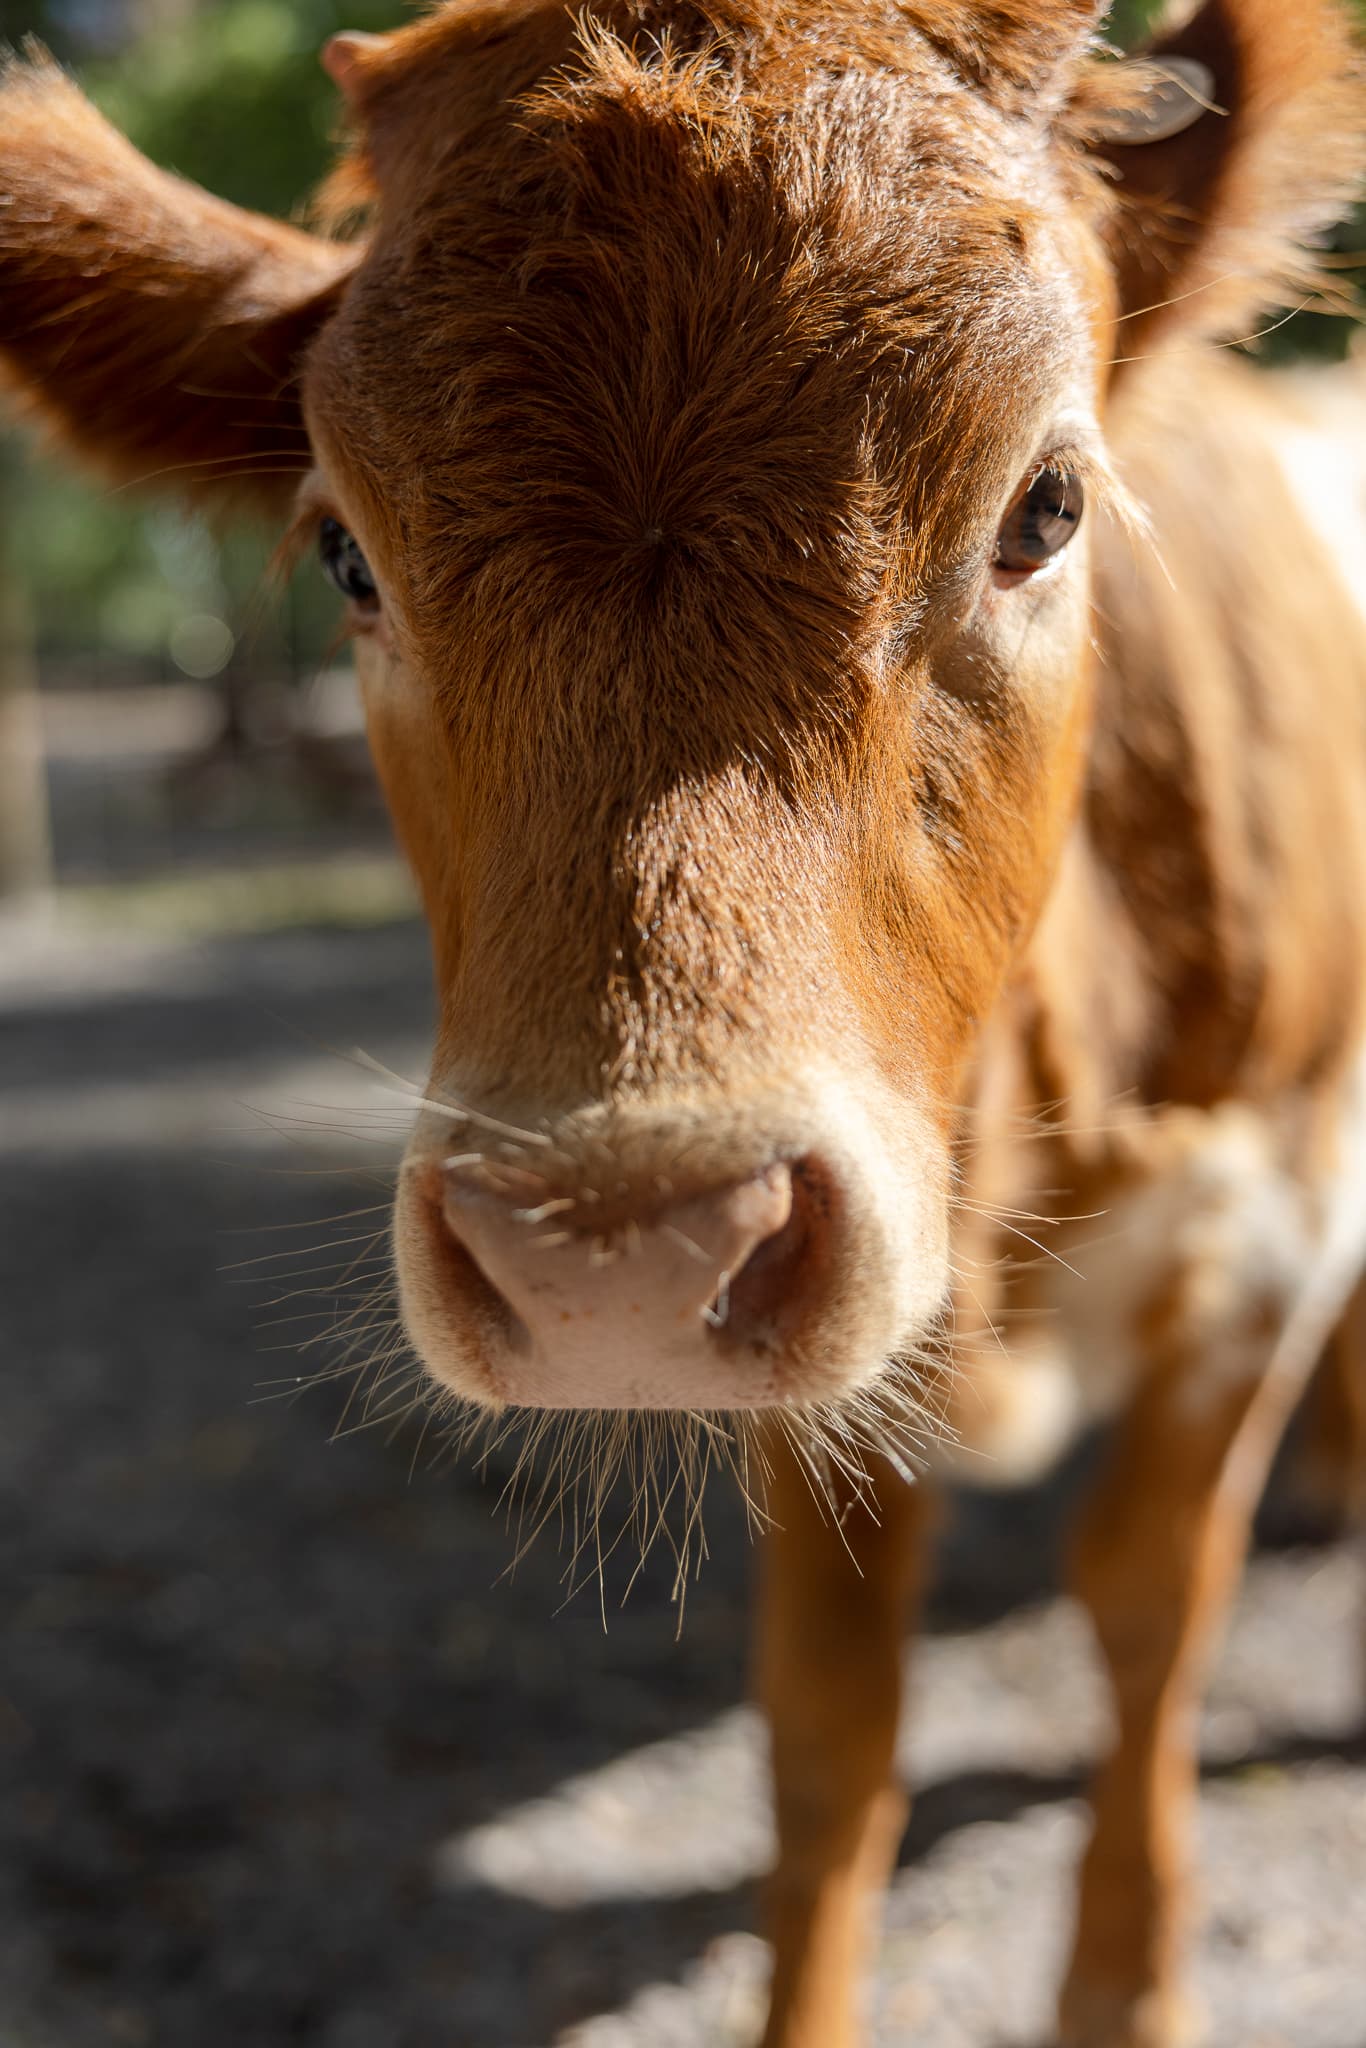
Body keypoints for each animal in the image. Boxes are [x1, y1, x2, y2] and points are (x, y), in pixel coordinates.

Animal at [4, 1, 1365, 2041]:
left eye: (1046, 505)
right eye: (344, 556)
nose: (620, 1248)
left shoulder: (1271, 1217)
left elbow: (1149, 1608)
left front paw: (1123, 1986)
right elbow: (828, 1715)